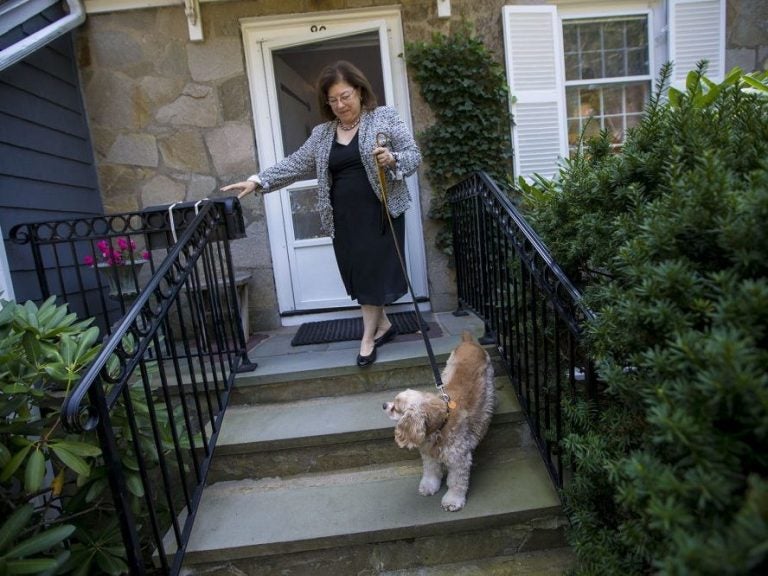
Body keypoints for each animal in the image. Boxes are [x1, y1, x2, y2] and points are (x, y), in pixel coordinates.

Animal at [380, 332, 496, 512]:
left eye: (396, 408)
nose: (384, 405)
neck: (440, 425)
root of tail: (468, 341)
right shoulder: (429, 454)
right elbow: (431, 471)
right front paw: (428, 487)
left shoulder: (459, 459)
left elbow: (456, 483)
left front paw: (452, 501)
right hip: (446, 371)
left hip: (488, 383)